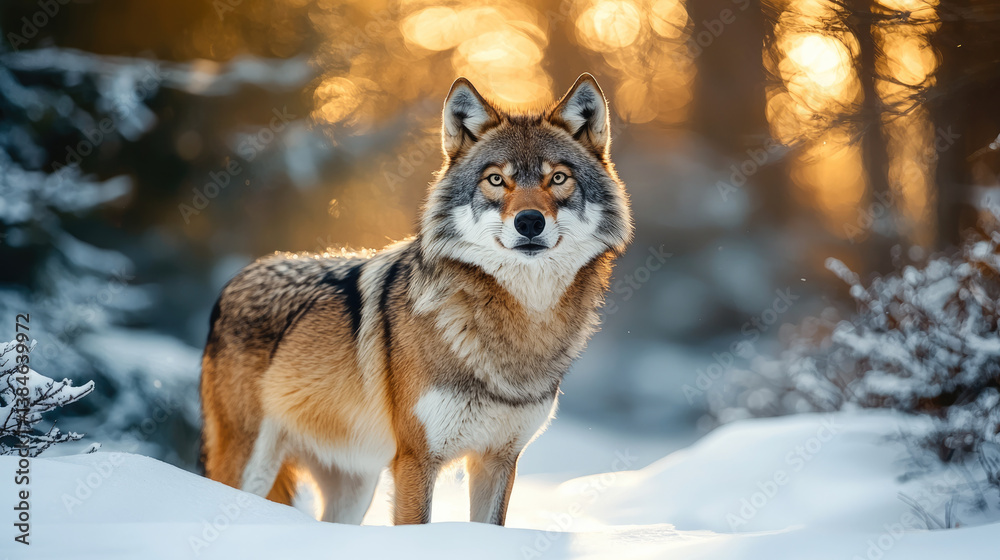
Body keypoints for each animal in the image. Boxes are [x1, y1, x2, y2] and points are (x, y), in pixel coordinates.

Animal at [200, 73, 633, 526]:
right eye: (496, 180)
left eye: (559, 178)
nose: (529, 222)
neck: (517, 328)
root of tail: (238, 278)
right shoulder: (415, 459)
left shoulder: (499, 460)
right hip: (250, 469)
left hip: (355, 488)